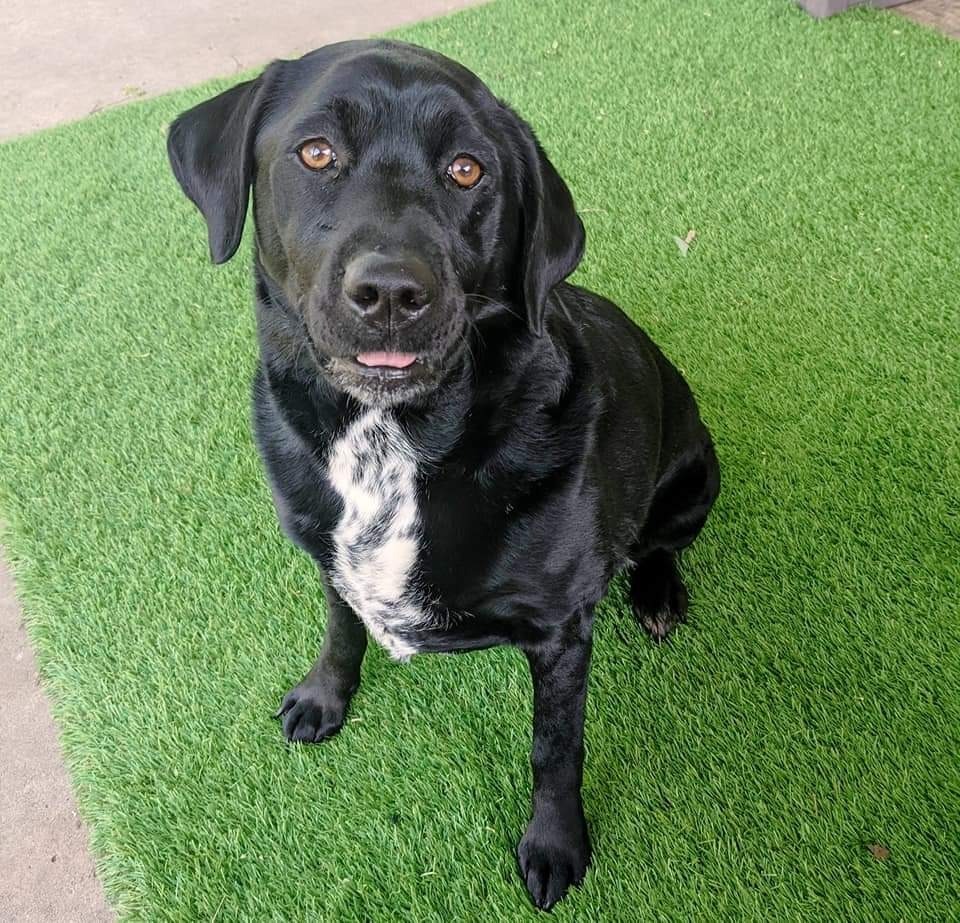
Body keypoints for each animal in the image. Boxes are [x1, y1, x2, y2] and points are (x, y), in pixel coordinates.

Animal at [167, 41, 720, 908]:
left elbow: (555, 750)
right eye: (316, 152)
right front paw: (324, 696)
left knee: (659, 544)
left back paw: (658, 593)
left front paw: (555, 844)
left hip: (696, 474)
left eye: (467, 170)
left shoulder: (562, 631)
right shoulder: (326, 554)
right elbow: (341, 628)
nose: (391, 292)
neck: (390, 444)